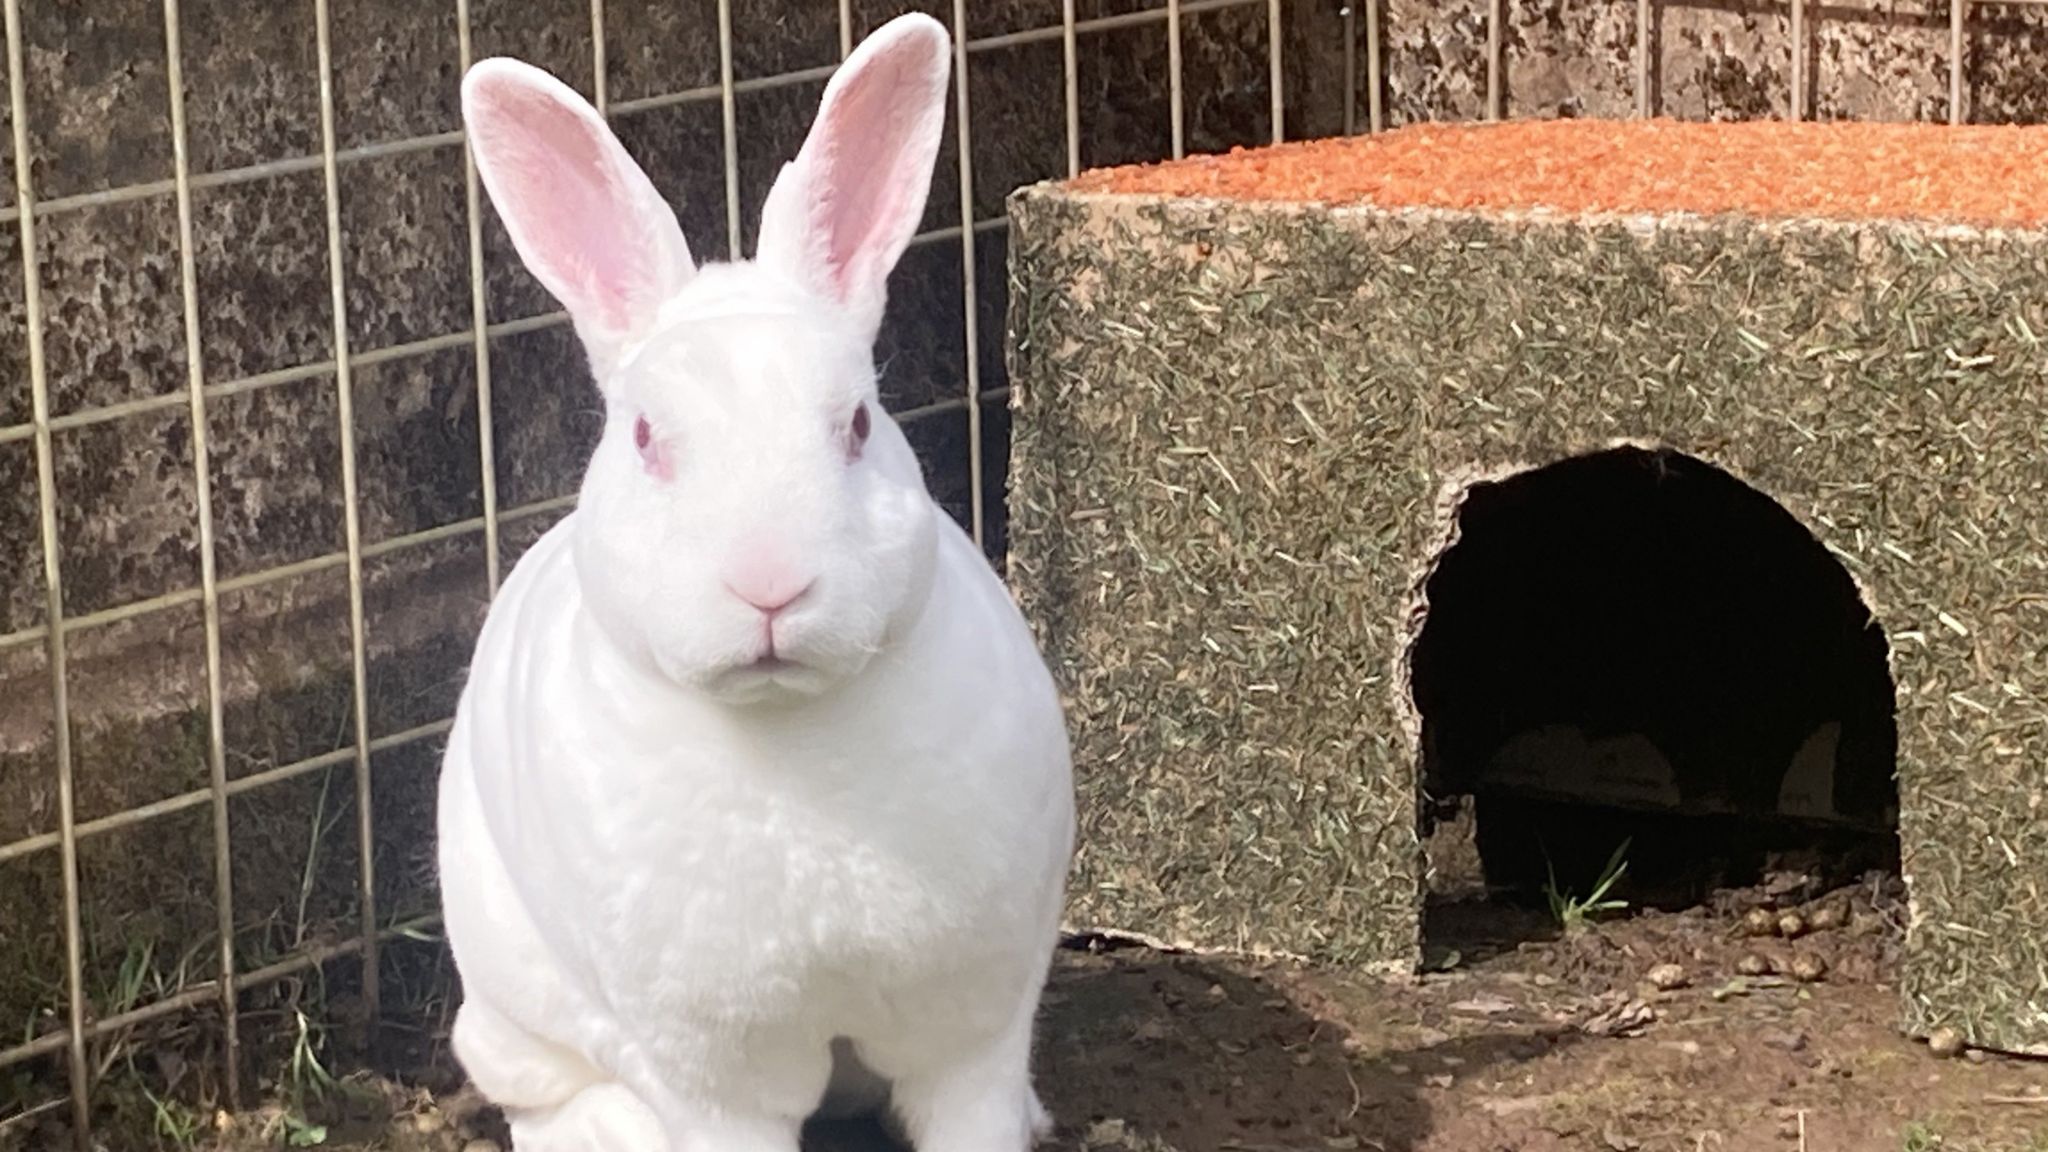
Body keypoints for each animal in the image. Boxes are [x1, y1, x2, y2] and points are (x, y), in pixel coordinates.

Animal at [440, 17, 1081, 1147]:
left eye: (858, 424)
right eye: (646, 438)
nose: (770, 585)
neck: (793, 737)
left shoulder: (975, 1023)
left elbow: (976, 1107)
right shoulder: (713, 1072)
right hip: (511, 1008)